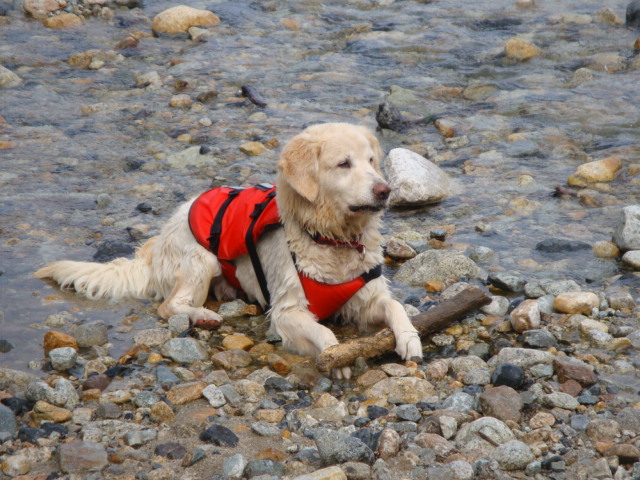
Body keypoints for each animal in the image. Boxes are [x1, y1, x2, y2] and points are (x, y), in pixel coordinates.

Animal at [36, 123, 424, 378]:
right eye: (344, 163)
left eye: (372, 161)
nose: (385, 190)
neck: (330, 237)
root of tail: (157, 240)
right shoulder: (286, 311)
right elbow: (322, 332)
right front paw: (335, 355)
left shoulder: (365, 297)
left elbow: (395, 306)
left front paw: (409, 339)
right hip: (200, 259)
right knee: (169, 305)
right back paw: (202, 315)